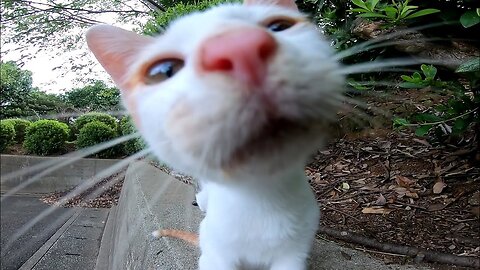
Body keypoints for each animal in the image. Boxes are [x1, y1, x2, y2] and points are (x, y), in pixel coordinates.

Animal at [85, 0, 342, 268]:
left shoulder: (294, 254)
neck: (263, 200)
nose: (240, 47)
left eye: (279, 26)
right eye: (163, 70)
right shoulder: (217, 256)